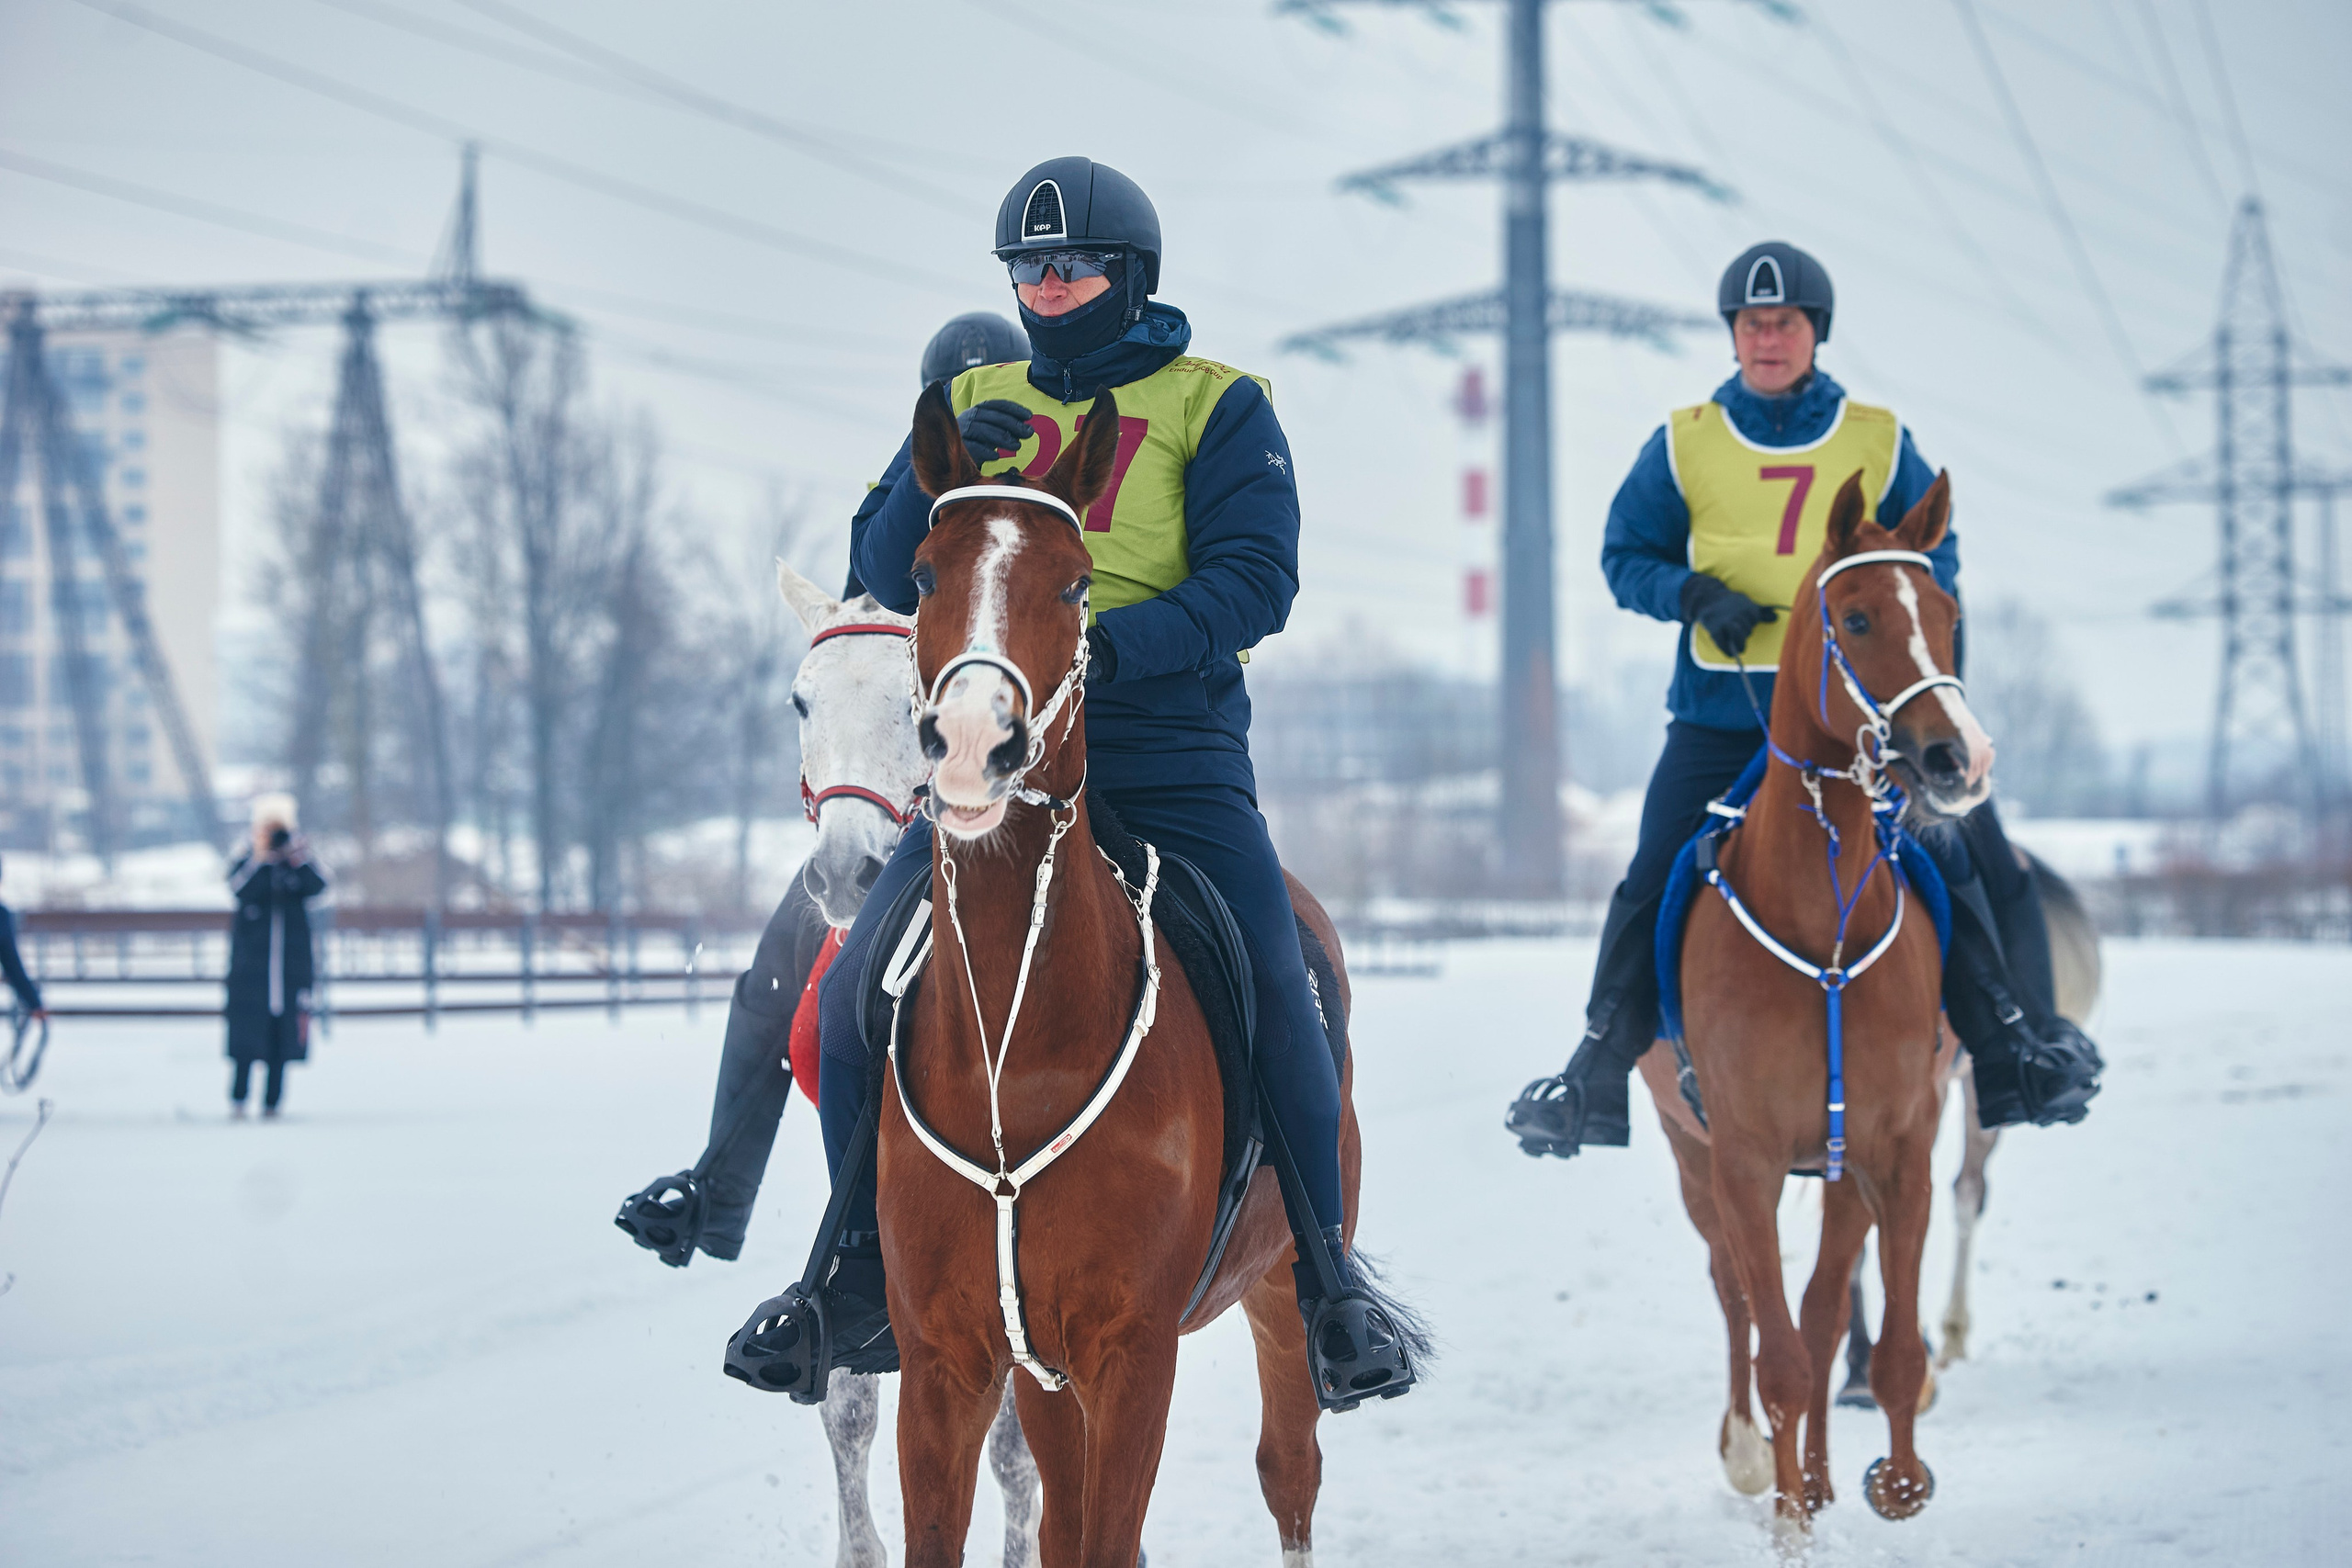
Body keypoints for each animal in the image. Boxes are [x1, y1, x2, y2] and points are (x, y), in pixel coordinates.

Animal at [1658, 470, 1986, 1530]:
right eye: (1858, 616)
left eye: (1946, 616)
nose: (1958, 758)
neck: (1824, 934)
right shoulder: (1746, 1160)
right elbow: (1782, 1358)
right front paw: (1789, 1512)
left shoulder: (1899, 1149)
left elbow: (1884, 1348)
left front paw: (1896, 1482)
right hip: (1695, 1159)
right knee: (1738, 1298)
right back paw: (1756, 1457)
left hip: (1842, 1172)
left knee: (1823, 1302)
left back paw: (1827, 1471)